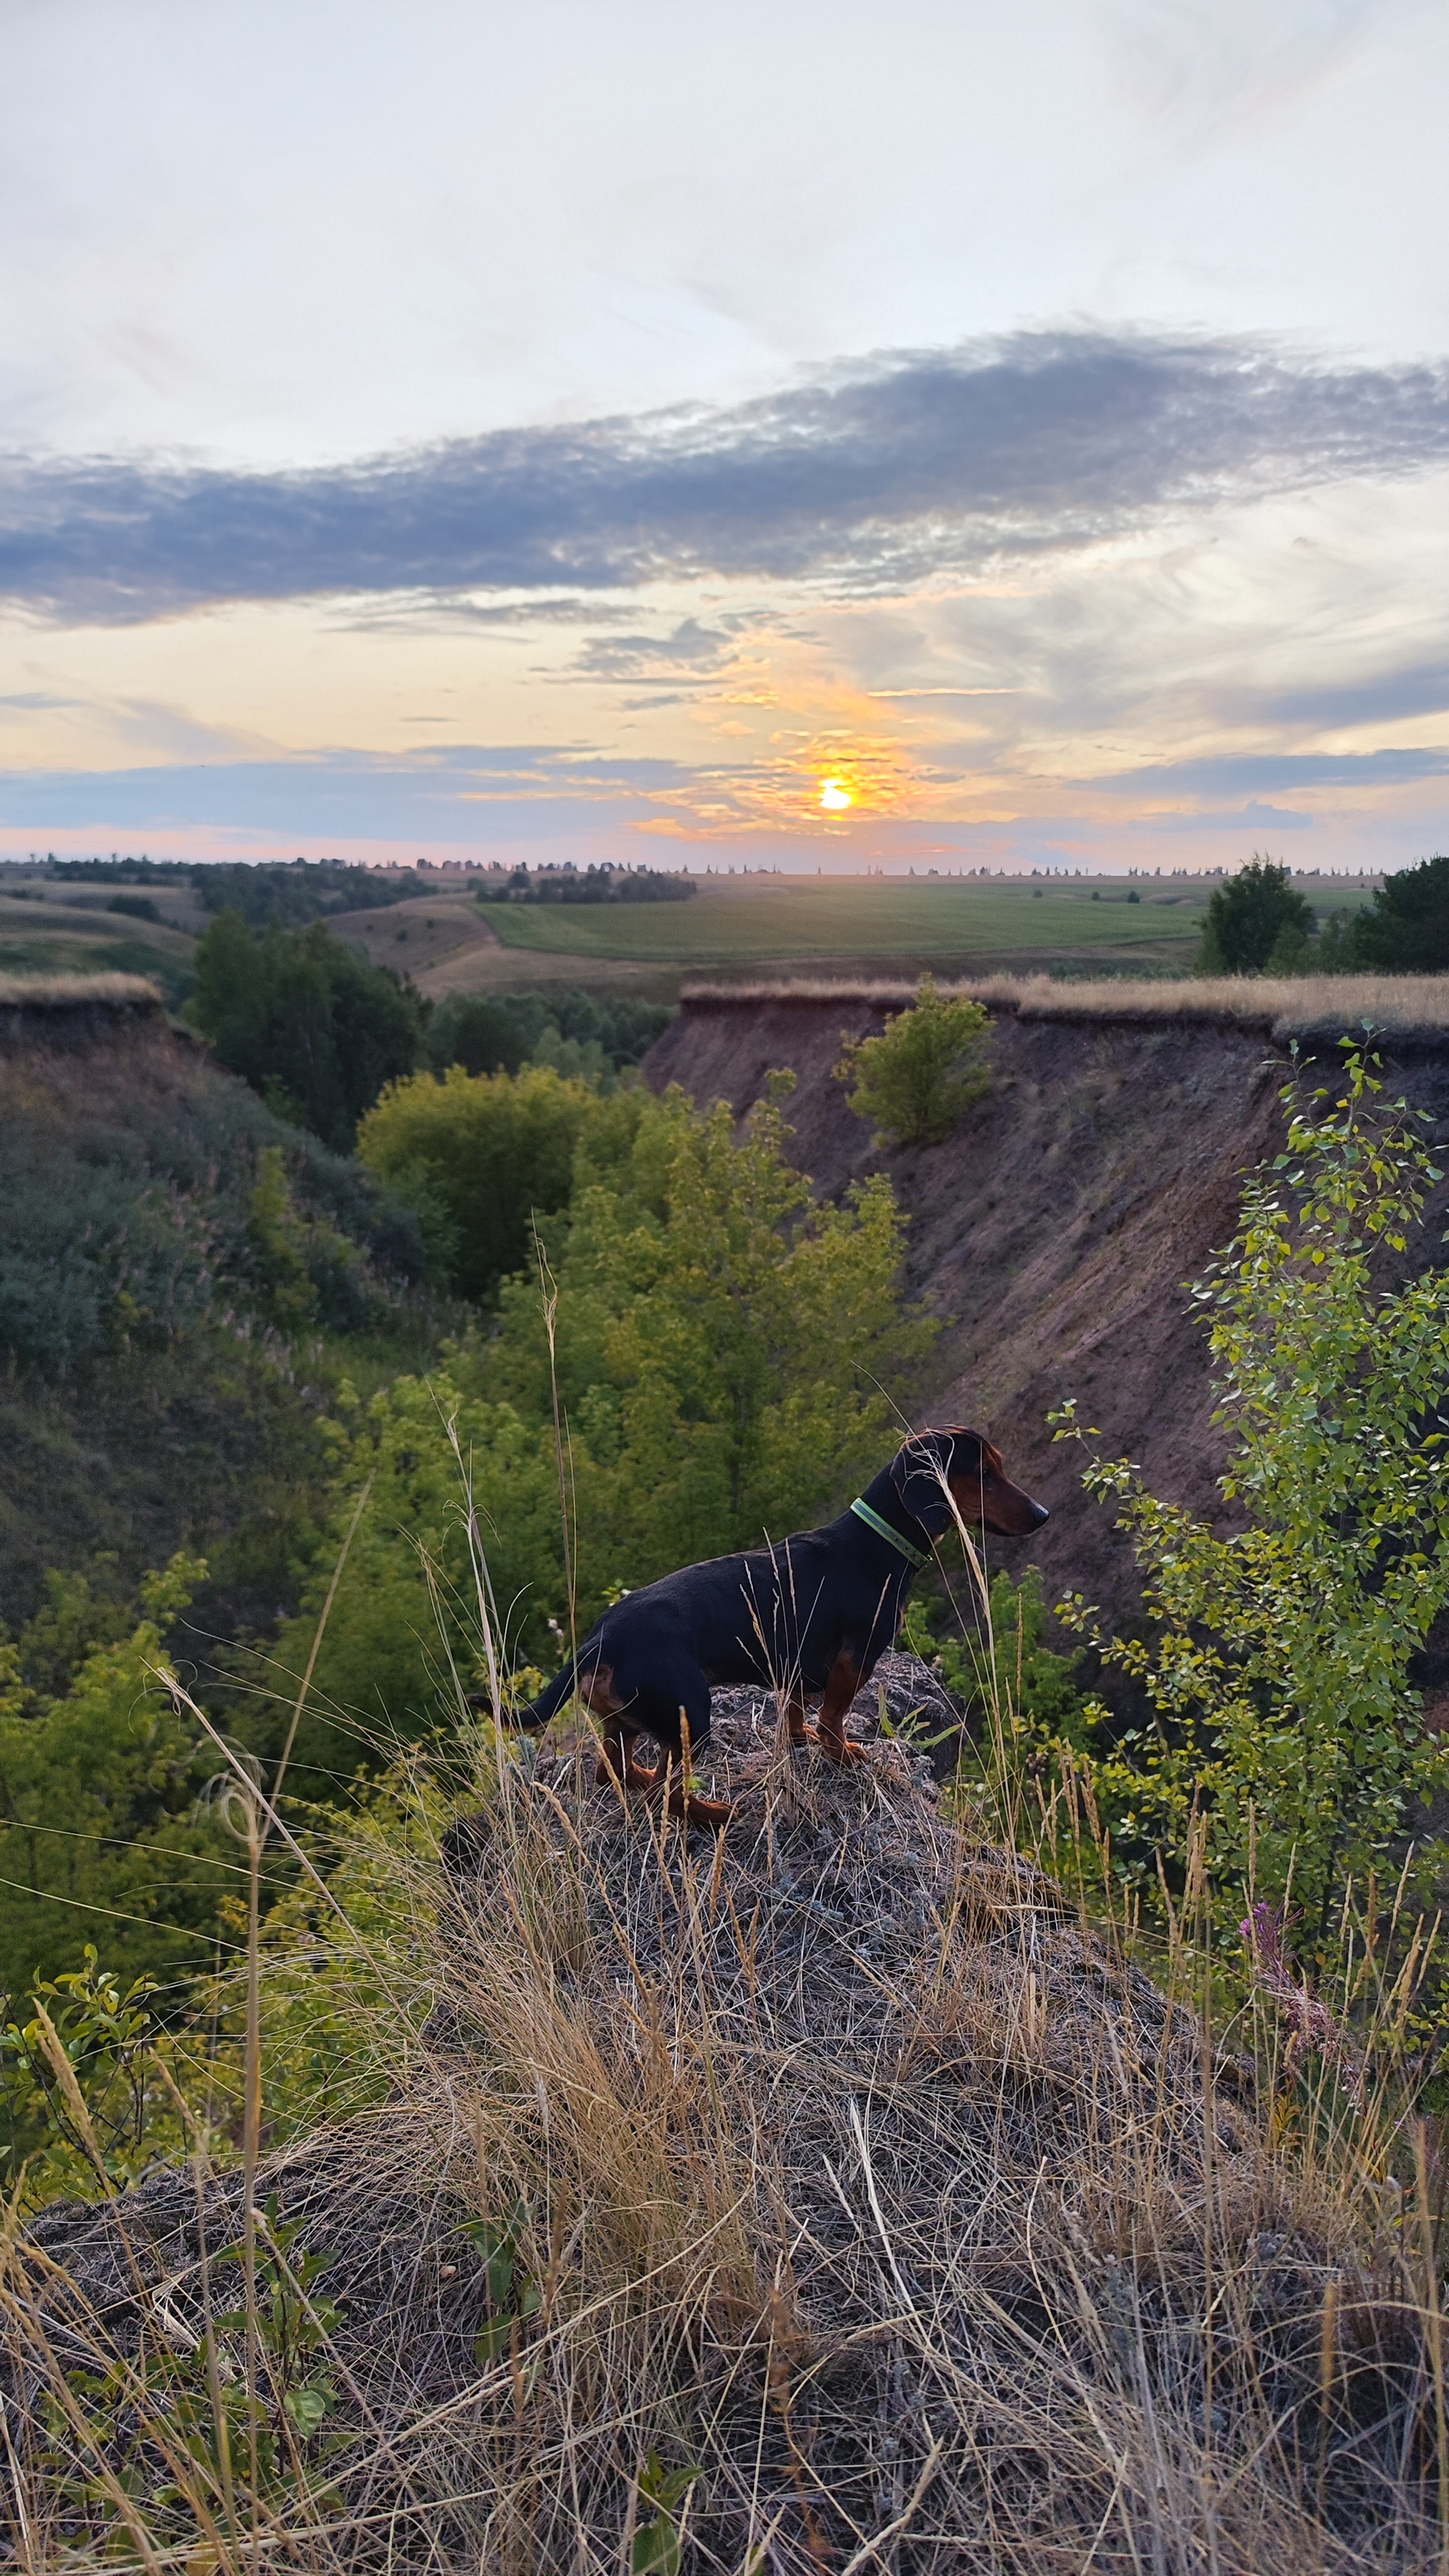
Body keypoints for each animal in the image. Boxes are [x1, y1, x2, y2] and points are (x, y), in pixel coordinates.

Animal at [502, 1432, 1041, 1834]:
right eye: (985, 1474)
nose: (1043, 1514)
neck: (874, 1543)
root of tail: (598, 1639)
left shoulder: (797, 1667)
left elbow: (797, 1712)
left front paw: (800, 1738)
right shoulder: (855, 1659)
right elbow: (834, 1718)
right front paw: (841, 1755)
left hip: (630, 1720)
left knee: (612, 1770)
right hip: (690, 1716)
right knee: (665, 1793)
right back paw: (715, 1815)